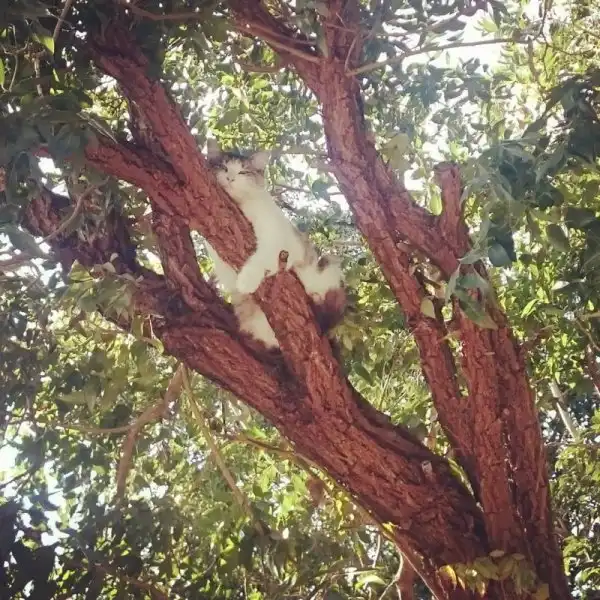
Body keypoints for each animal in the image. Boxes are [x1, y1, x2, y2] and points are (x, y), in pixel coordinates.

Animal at [204, 140, 345, 348]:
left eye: (243, 172)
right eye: (223, 167)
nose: (230, 178)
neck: (241, 206)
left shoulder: (275, 238)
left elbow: (261, 256)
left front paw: (247, 279)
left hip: (328, 263)